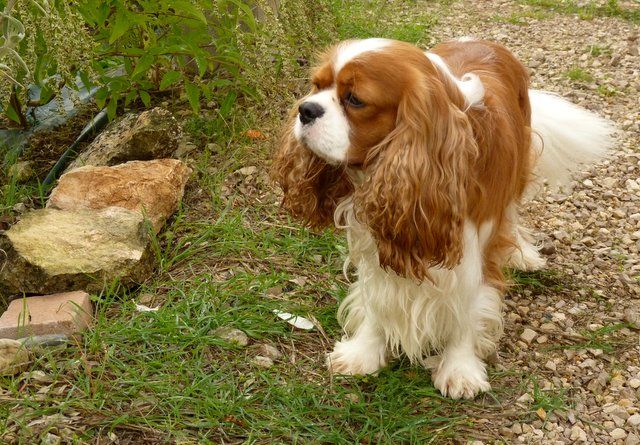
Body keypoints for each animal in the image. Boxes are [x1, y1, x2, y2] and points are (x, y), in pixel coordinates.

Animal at [271, 38, 614, 399]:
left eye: (355, 99)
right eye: (316, 86)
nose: (305, 109)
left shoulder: (473, 249)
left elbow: (467, 311)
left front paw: (460, 369)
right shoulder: (375, 239)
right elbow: (376, 297)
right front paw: (363, 352)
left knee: (512, 215)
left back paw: (523, 253)